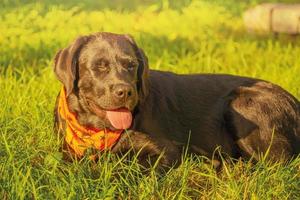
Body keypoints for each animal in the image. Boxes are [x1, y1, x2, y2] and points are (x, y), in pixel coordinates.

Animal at [54, 32, 300, 168]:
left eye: (131, 65)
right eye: (100, 66)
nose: (125, 91)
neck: (99, 130)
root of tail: (296, 103)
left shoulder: (167, 151)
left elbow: (130, 166)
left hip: (242, 104)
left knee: (273, 163)